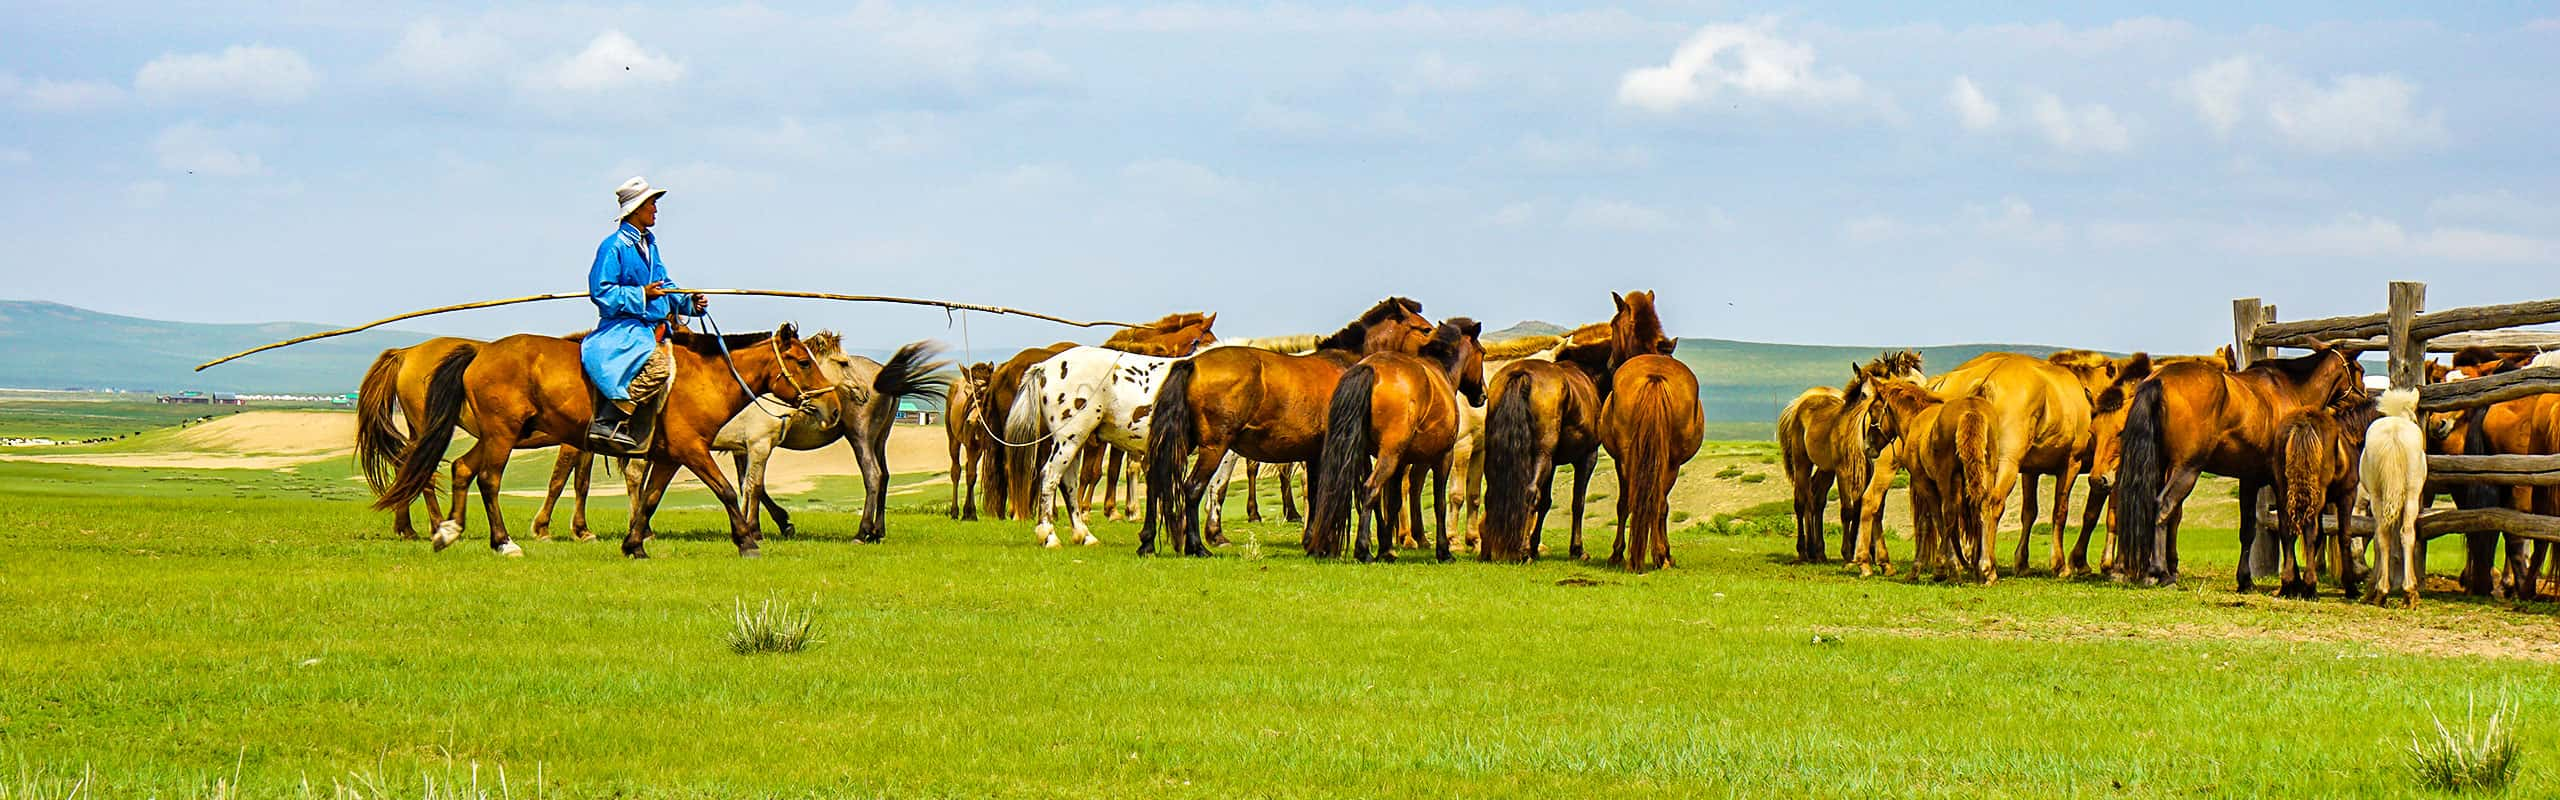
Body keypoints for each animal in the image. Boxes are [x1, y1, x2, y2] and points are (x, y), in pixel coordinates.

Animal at [373, 323, 829, 556]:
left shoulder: (670, 456)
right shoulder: (692, 450)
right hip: (501, 433)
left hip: (493, 433)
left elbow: (649, 499)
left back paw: (447, 532)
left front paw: (634, 544)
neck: (703, 378)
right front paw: (747, 541)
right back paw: (500, 542)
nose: (828, 407)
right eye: (803, 361)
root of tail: (479, 353)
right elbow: (726, 491)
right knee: (486, 478)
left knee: (461, 468)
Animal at [1146, 298, 1443, 556]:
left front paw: (1313, 541)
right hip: (1213, 447)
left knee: (1158, 480)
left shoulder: (1314, 453)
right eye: (1425, 329)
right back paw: (1196, 546)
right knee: (1192, 488)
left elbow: (1316, 491)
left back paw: (1149, 543)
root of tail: (1192, 363)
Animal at [1587, 291, 1689, 571]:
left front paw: (1616, 553)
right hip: (1670, 461)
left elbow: (1623, 504)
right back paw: (1660, 555)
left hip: (1630, 459)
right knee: (1659, 503)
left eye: (1613, 325)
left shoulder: (1619, 459)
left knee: (1633, 502)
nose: (1610, 362)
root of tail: (1654, 377)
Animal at [2109, 346, 2365, 587]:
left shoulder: (2249, 480)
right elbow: (2286, 528)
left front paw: (2245, 579)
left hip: (2162, 467)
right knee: (2163, 506)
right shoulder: (2280, 481)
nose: (2364, 398)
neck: (2289, 390)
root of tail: (2159, 379)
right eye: (2360, 370)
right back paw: (2158, 572)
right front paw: (2292, 581)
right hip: (2186, 469)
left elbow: (2248, 531)